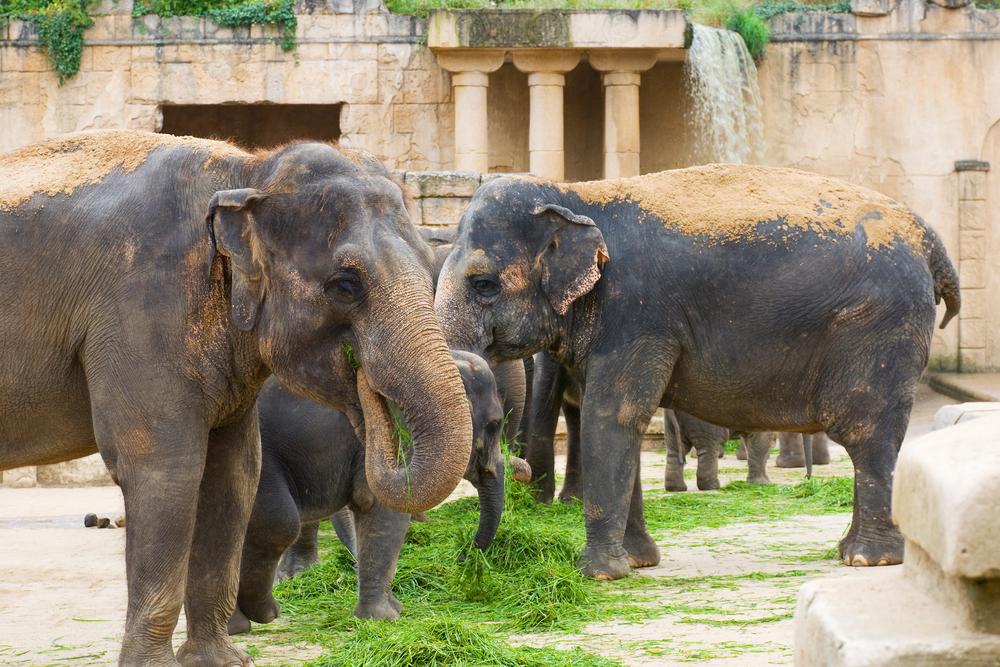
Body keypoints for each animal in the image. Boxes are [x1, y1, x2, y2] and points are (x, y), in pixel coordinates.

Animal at [0, 128, 474, 664]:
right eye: (345, 285)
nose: (365, 385)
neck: (247, 172)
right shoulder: (141, 310)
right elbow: (167, 468)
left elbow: (234, 471)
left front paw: (220, 660)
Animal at [436, 166, 960, 580]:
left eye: (484, 285)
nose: (465, 560)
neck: (574, 193)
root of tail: (929, 239)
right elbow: (615, 419)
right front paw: (640, 563)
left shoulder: (637, 314)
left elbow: (614, 415)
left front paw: (599, 575)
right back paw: (849, 551)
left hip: (879, 328)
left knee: (867, 432)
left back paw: (868, 559)